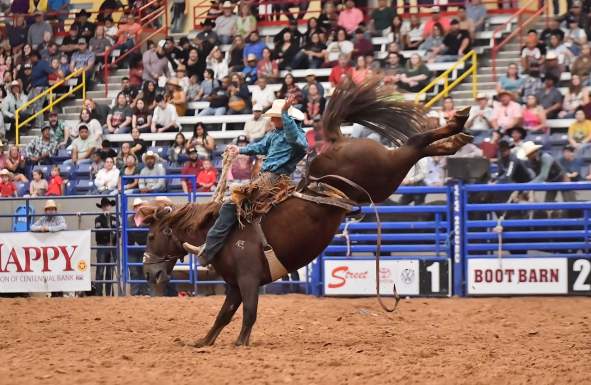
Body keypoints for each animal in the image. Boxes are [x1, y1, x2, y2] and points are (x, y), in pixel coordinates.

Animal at [135, 78, 472, 344]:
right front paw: (202, 342)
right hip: (385, 178)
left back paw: (456, 125)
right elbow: (223, 316)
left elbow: (249, 314)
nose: (149, 273)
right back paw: (454, 139)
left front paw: (240, 344)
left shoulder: (248, 279)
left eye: (150, 237)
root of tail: (337, 140)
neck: (215, 232)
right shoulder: (233, 286)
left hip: (384, 173)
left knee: (414, 144)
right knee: (417, 147)